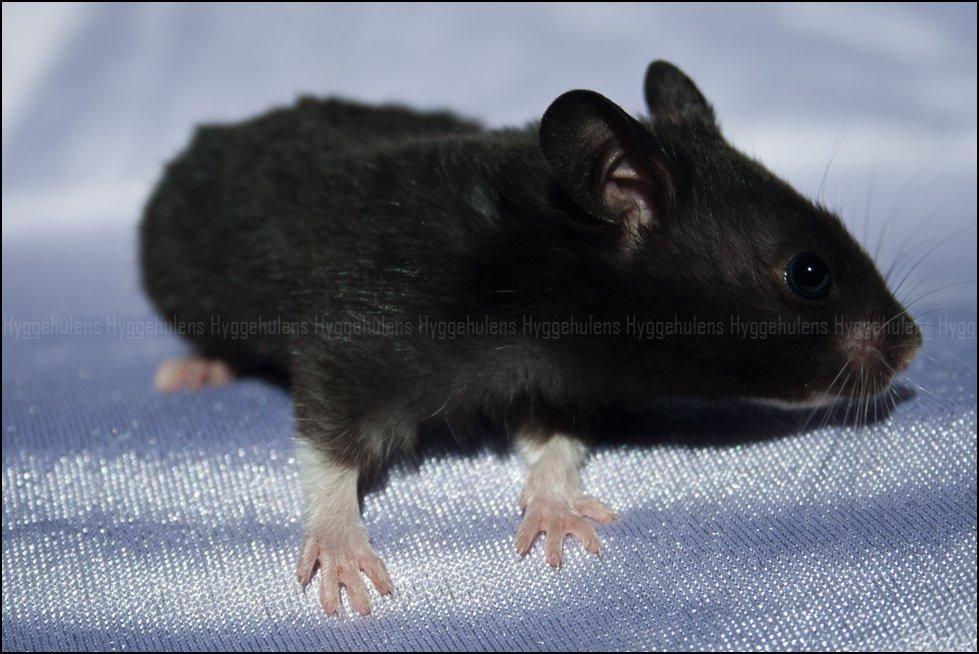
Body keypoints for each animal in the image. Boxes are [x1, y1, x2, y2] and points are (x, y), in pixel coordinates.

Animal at [140, 61, 922, 616]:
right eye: (809, 273)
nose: (912, 345)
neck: (550, 257)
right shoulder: (358, 334)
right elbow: (327, 438)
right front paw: (340, 553)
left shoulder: (561, 376)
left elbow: (553, 438)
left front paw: (556, 511)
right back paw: (199, 366)